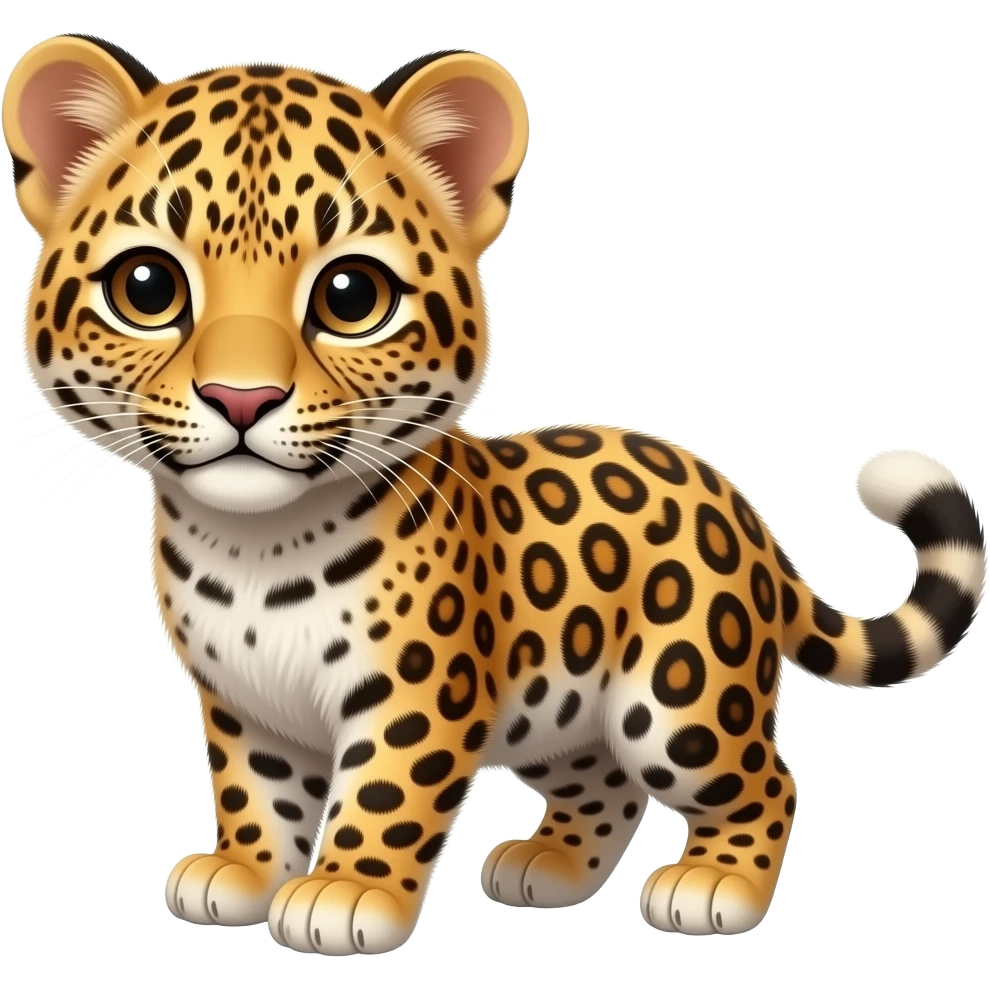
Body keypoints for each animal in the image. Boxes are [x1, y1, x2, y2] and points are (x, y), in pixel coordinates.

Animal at [4, 34, 987, 955]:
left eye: (351, 295)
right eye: (146, 287)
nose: (240, 399)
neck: (252, 545)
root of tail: (738, 508)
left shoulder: (419, 687)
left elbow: (388, 791)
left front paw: (345, 893)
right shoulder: (244, 705)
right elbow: (258, 793)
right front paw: (243, 872)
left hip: (679, 694)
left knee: (766, 778)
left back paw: (715, 886)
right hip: (564, 711)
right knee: (606, 782)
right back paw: (548, 867)